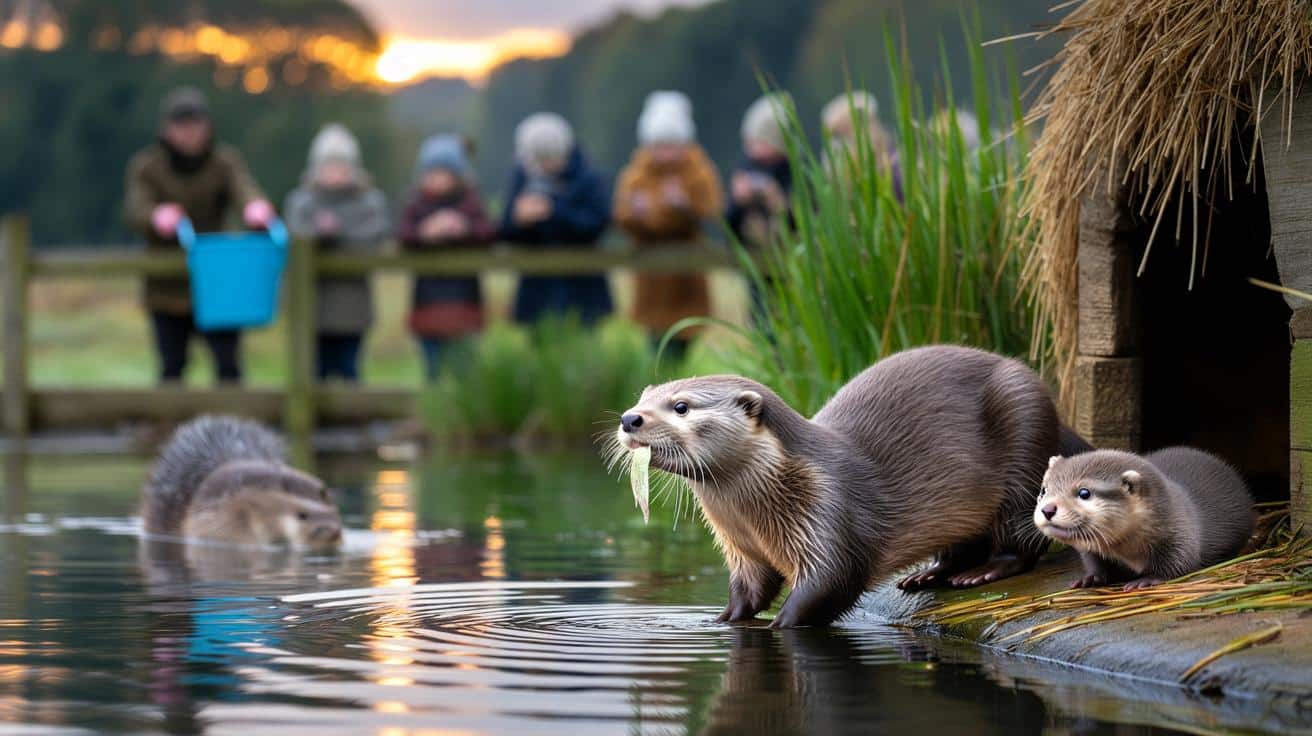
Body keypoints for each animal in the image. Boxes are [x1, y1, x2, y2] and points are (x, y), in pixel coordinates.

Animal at [614, 345, 1088, 628]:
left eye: (681, 406)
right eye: (641, 398)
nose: (629, 418)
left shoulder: (830, 514)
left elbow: (832, 583)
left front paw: (779, 625)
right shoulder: (743, 551)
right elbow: (750, 590)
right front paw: (722, 620)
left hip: (1024, 435)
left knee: (1022, 540)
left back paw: (984, 572)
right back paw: (927, 576)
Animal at [1035, 447, 1255, 590]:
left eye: (1084, 493)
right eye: (1044, 489)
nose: (1047, 509)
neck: (1129, 552)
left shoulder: (1182, 536)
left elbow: (1180, 563)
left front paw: (1146, 580)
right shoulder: (1093, 550)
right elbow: (1093, 561)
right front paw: (1089, 578)